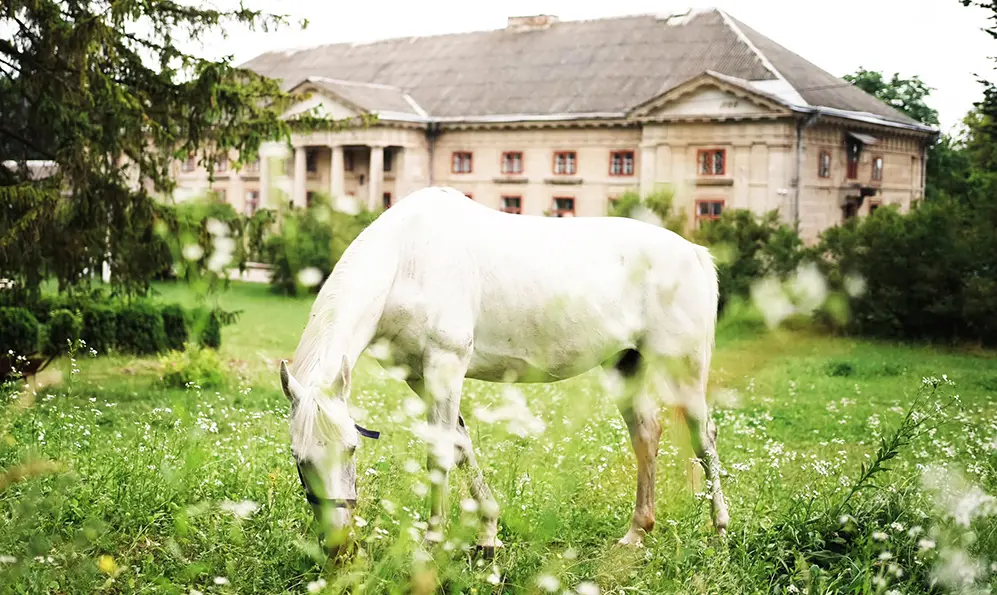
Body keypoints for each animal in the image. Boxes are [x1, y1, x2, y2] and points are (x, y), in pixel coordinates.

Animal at [276, 187, 728, 560]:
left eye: (351, 449)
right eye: (300, 459)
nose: (338, 546)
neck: (406, 259)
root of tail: (695, 253)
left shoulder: (445, 364)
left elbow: (440, 453)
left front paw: (433, 542)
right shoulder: (420, 376)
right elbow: (461, 446)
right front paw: (488, 534)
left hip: (684, 371)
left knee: (703, 438)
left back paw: (720, 530)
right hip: (624, 364)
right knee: (646, 435)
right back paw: (636, 533)